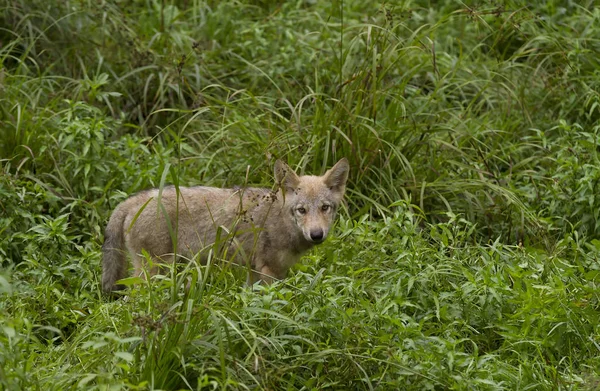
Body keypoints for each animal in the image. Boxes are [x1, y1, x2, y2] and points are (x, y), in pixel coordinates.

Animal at [101, 158, 350, 292]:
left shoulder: (255, 272)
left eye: (325, 208)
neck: (282, 221)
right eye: (302, 210)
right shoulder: (270, 272)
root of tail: (133, 200)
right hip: (154, 273)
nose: (316, 234)